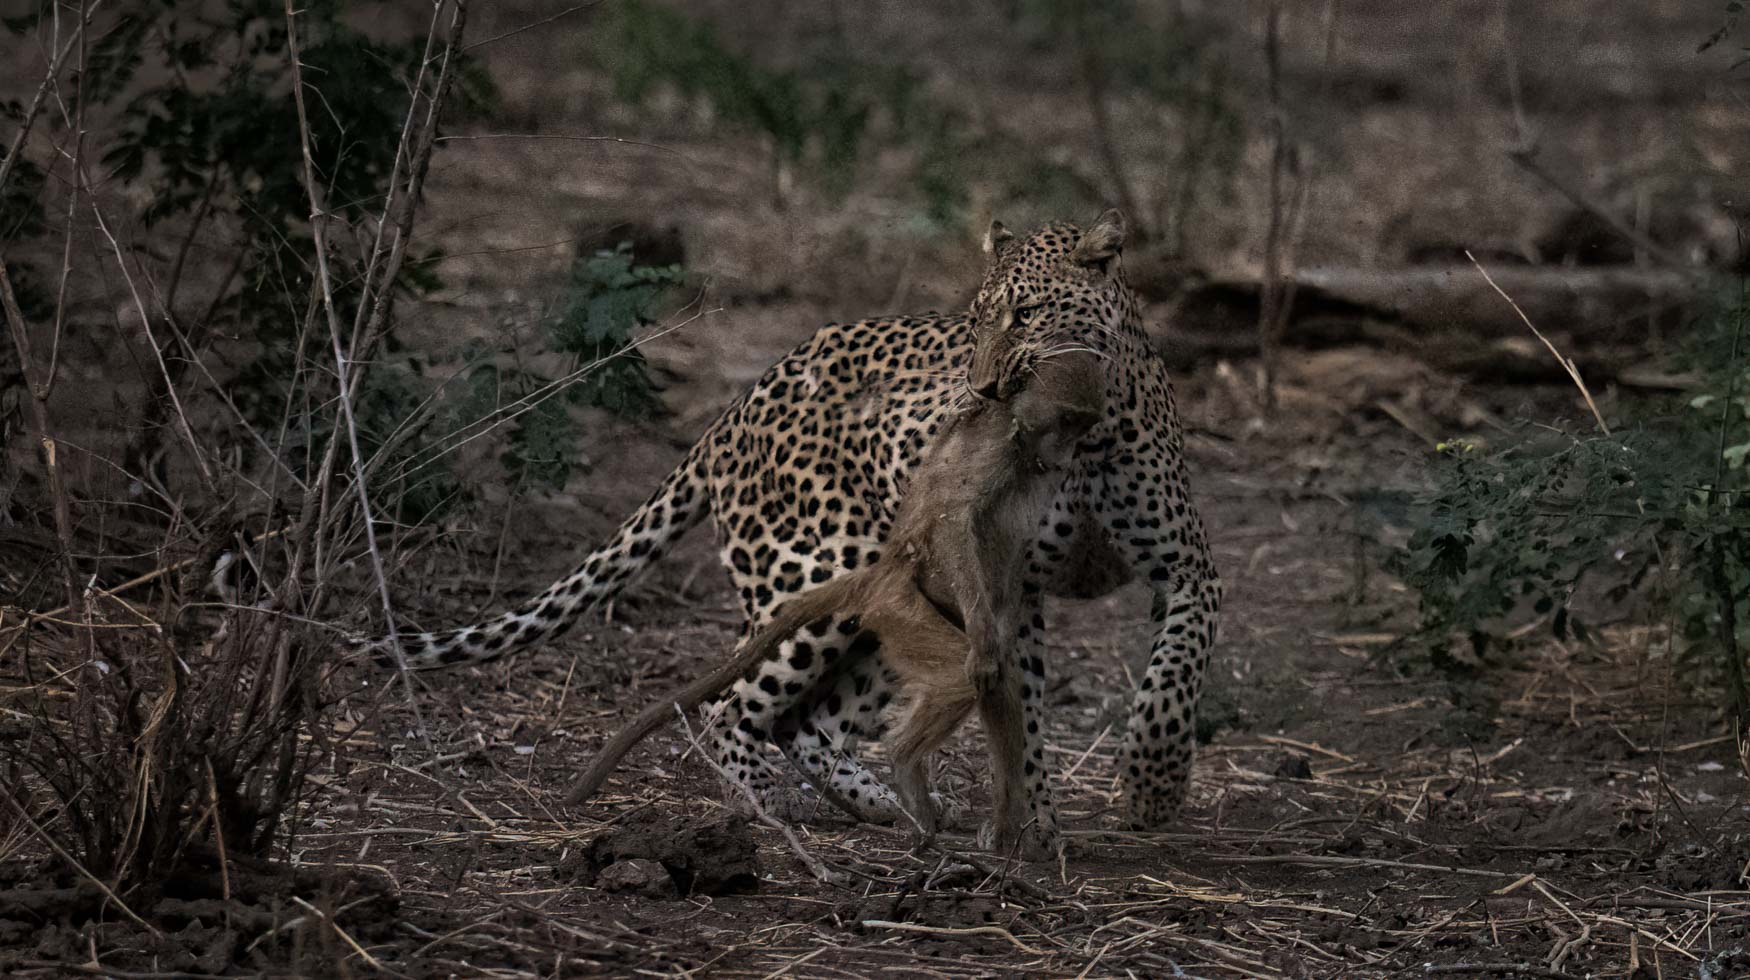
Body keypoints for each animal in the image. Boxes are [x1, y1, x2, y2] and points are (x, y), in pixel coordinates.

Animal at [369, 210, 1218, 847]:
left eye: (1029, 313)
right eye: (978, 321)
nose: (981, 389)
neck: (1088, 437)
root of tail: (744, 397)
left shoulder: (1186, 568)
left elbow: (1174, 677)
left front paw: (1146, 786)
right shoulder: (1021, 585)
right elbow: (1032, 706)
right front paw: (1062, 811)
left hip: (889, 602)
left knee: (816, 724)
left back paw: (882, 802)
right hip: (815, 572)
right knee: (732, 709)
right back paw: (766, 805)